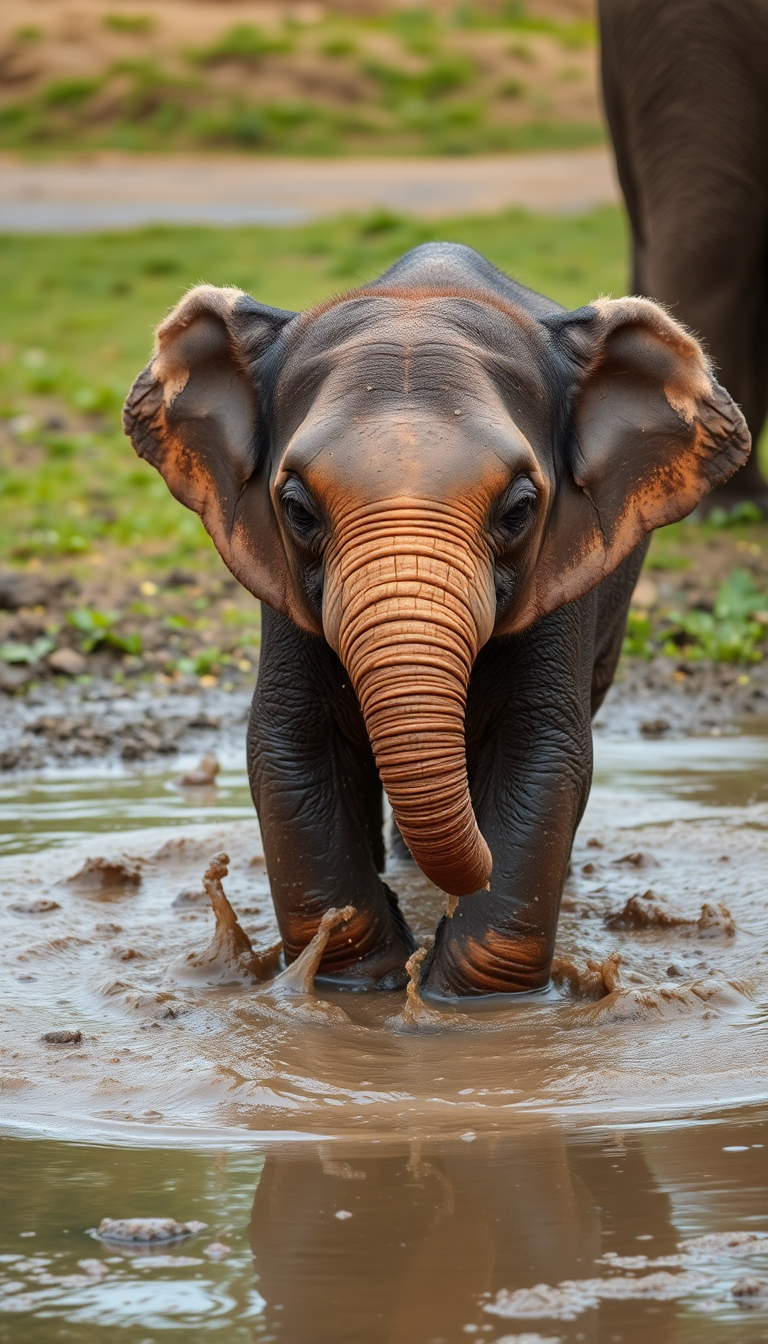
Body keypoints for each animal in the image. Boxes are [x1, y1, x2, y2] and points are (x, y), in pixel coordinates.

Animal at [123, 244, 747, 999]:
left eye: (519, 509)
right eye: (297, 508)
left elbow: (546, 754)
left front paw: (463, 1001)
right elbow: (286, 747)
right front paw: (365, 983)